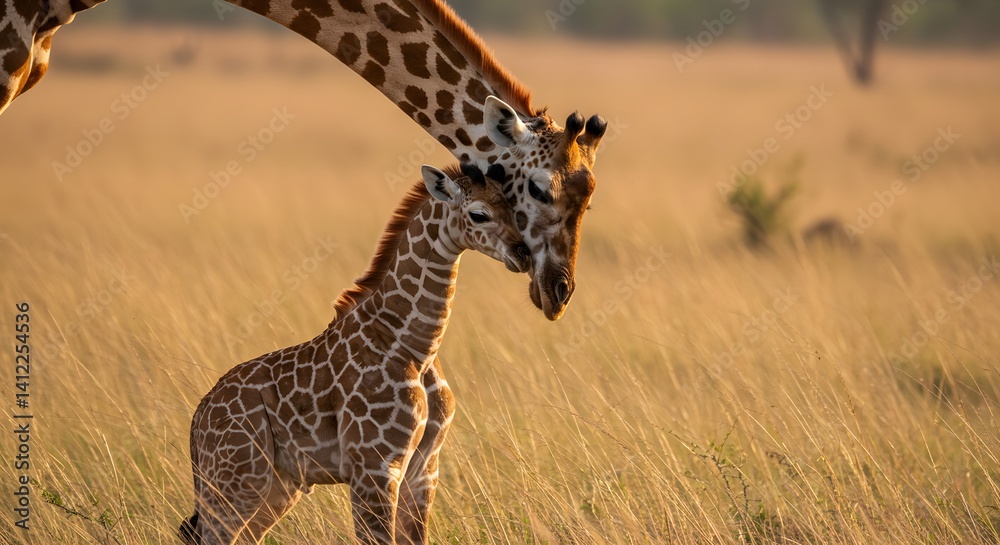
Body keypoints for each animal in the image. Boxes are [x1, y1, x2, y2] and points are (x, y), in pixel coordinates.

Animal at [181, 162, 531, 545]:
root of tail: (198, 419)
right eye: (478, 214)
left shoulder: (425, 469)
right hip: (237, 481)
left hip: (276, 486)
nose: (523, 254)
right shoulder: (374, 466)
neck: (416, 347)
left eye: (515, 206)